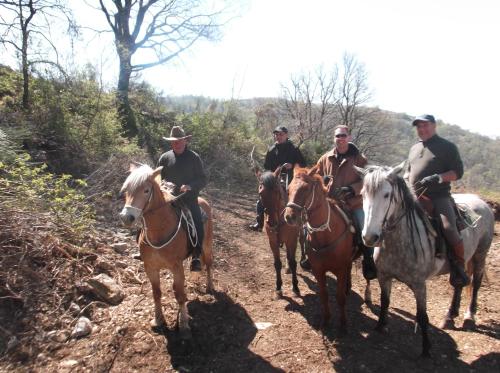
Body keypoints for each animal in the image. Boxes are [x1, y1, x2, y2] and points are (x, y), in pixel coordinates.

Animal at [121, 163, 217, 338]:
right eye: (126, 190)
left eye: (146, 190)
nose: (126, 217)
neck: (160, 229)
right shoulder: (150, 267)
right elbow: (156, 293)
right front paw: (158, 319)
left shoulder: (176, 267)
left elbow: (179, 295)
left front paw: (184, 324)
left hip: (207, 246)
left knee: (208, 264)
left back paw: (209, 286)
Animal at [286, 166, 356, 332]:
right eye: (288, 189)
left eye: (305, 189)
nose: (289, 217)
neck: (326, 235)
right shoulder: (318, 270)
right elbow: (324, 295)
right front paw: (326, 319)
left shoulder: (341, 269)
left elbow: (340, 297)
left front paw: (343, 324)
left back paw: (348, 287)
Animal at [358, 164, 494, 356]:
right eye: (363, 194)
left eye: (386, 194)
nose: (370, 237)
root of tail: (481, 202)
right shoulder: (384, 276)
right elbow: (385, 302)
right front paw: (380, 327)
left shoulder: (419, 284)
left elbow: (422, 316)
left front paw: (426, 348)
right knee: (459, 284)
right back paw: (450, 316)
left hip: (480, 255)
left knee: (475, 284)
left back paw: (469, 317)